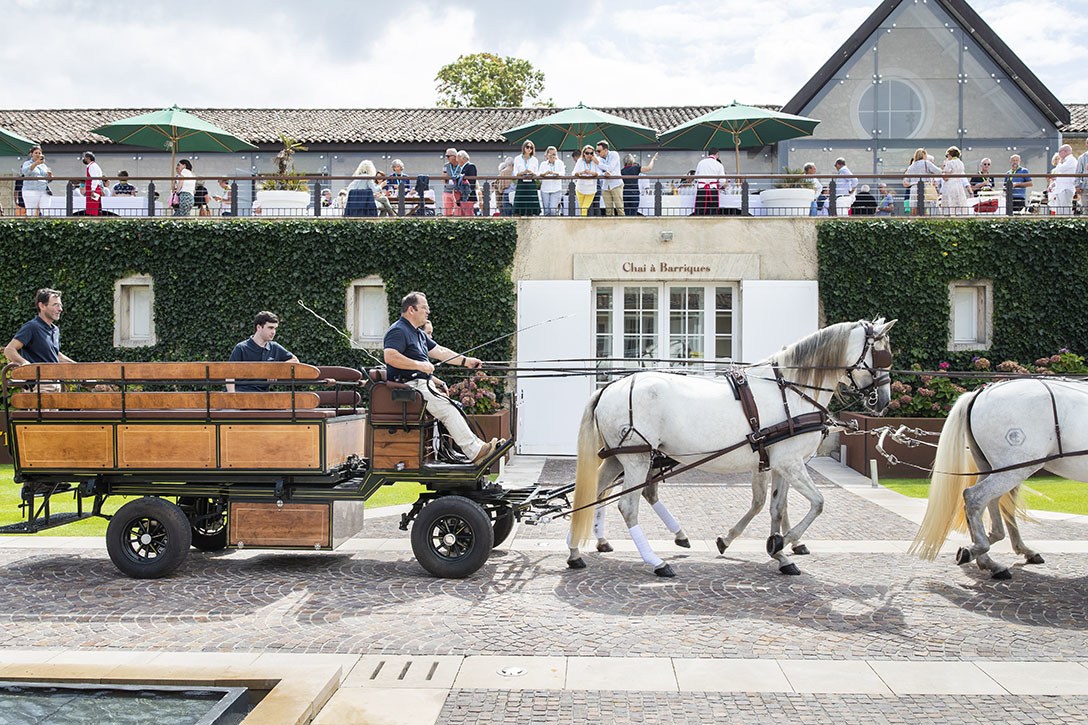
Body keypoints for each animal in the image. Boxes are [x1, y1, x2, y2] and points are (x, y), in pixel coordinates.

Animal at [570, 315, 892, 574]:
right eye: (882, 354)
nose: (884, 401)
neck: (790, 390)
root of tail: (610, 387)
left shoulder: (779, 463)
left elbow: (776, 507)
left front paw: (779, 553)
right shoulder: (789, 462)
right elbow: (818, 502)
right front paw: (780, 543)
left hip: (619, 457)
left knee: (593, 493)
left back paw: (575, 550)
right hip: (637, 459)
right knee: (627, 505)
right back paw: (656, 562)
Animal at [909, 378, 1088, 574]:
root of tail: (981, 393)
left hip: (994, 468)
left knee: (988, 502)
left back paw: (989, 557)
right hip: (1015, 468)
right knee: (975, 497)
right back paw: (980, 550)